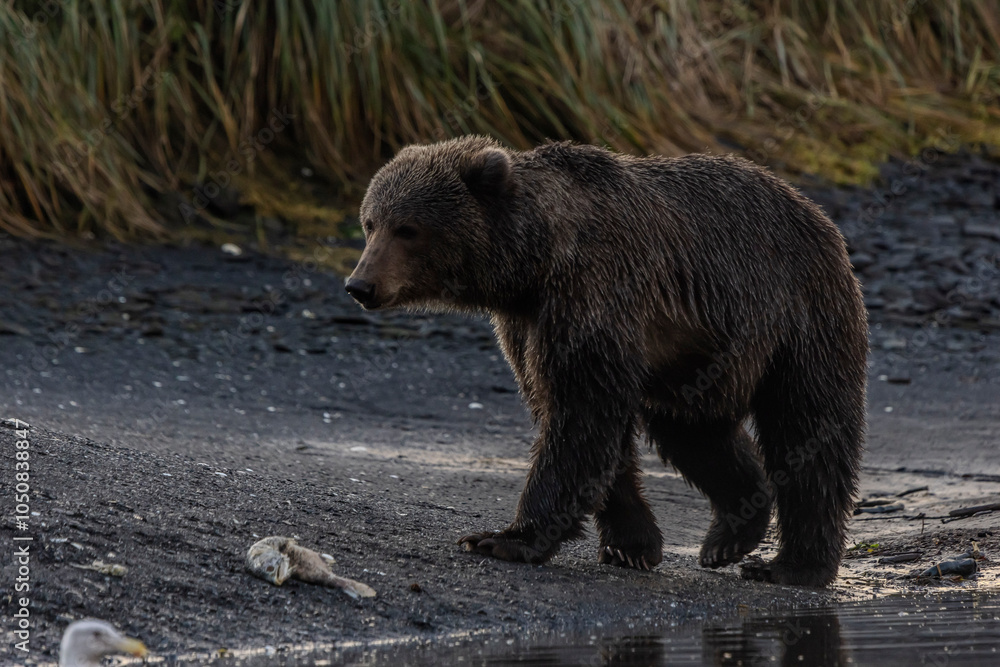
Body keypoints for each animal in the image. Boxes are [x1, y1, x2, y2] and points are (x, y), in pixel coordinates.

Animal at [345, 135, 868, 587]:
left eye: (408, 228)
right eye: (370, 222)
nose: (360, 285)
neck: (534, 264)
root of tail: (816, 212)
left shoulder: (594, 293)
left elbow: (580, 416)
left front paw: (502, 539)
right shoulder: (528, 325)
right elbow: (580, 422)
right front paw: (631, 544)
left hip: (800, 317)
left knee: (807, 429)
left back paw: (793, 565)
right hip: (699, 357)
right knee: (693, 431)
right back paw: (731, 533)